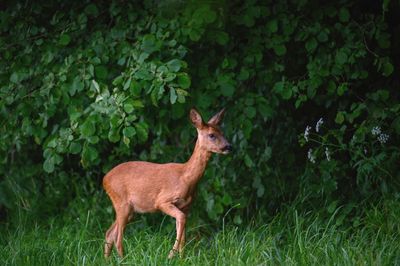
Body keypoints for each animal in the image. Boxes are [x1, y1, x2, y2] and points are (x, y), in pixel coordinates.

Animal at [103, 107, 231, 258]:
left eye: (222, 132)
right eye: (211, 135)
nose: (228, 146)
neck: (186, 178)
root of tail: (105, 179)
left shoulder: (186, 207)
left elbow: (182, 233)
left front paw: (181, 258)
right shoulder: (162, 201)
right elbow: (181, 220)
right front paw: (170, 256)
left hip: (129, 209)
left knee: (109, 234)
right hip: (122, 202)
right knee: (117, 238)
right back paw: (123, 259)